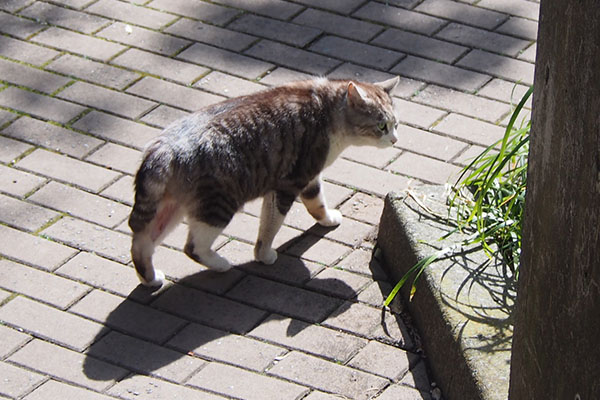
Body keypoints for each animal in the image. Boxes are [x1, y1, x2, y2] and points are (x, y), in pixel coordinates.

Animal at [127, 76, 398, 288]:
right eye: (381, 126)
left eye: (395, 124)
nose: (395, 139)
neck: (326, 107)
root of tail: (165, 147)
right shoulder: (291, 180)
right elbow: (270, 226)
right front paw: (264, 255)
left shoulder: (306, 179)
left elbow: (316, 202)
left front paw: (328, 218)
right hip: (217, 205)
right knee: (193, 247)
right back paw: (221, 264)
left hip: (168, 208)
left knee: (142, 243)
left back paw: (151, 279)